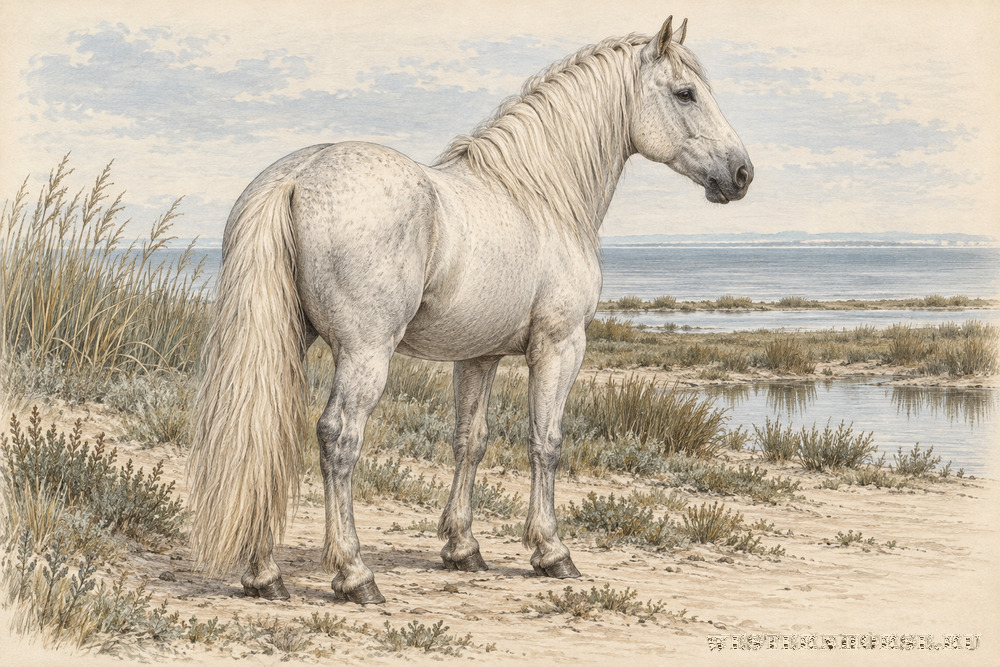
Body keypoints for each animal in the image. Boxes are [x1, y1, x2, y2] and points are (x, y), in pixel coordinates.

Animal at [188, 16, 752, 605]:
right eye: (685, 93)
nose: (741, 173)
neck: (538, 196)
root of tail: (296, 175)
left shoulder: (478, 356)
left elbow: (469, 441)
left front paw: (462, 548)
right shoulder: (560, 346)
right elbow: (546, 442)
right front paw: (552, 553)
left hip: (290, 341)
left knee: (262, 430)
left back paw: (263, 574)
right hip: (366, 353)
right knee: (339, 438)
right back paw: (354, 575)